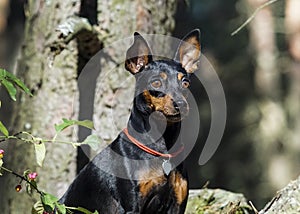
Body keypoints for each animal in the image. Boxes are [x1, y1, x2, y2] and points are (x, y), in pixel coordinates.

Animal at [59, 29, 200, 213]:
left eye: (185, 83)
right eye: (156, 82)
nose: (181, 105)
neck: (163, 148)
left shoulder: (177, 204)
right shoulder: (132, 206)